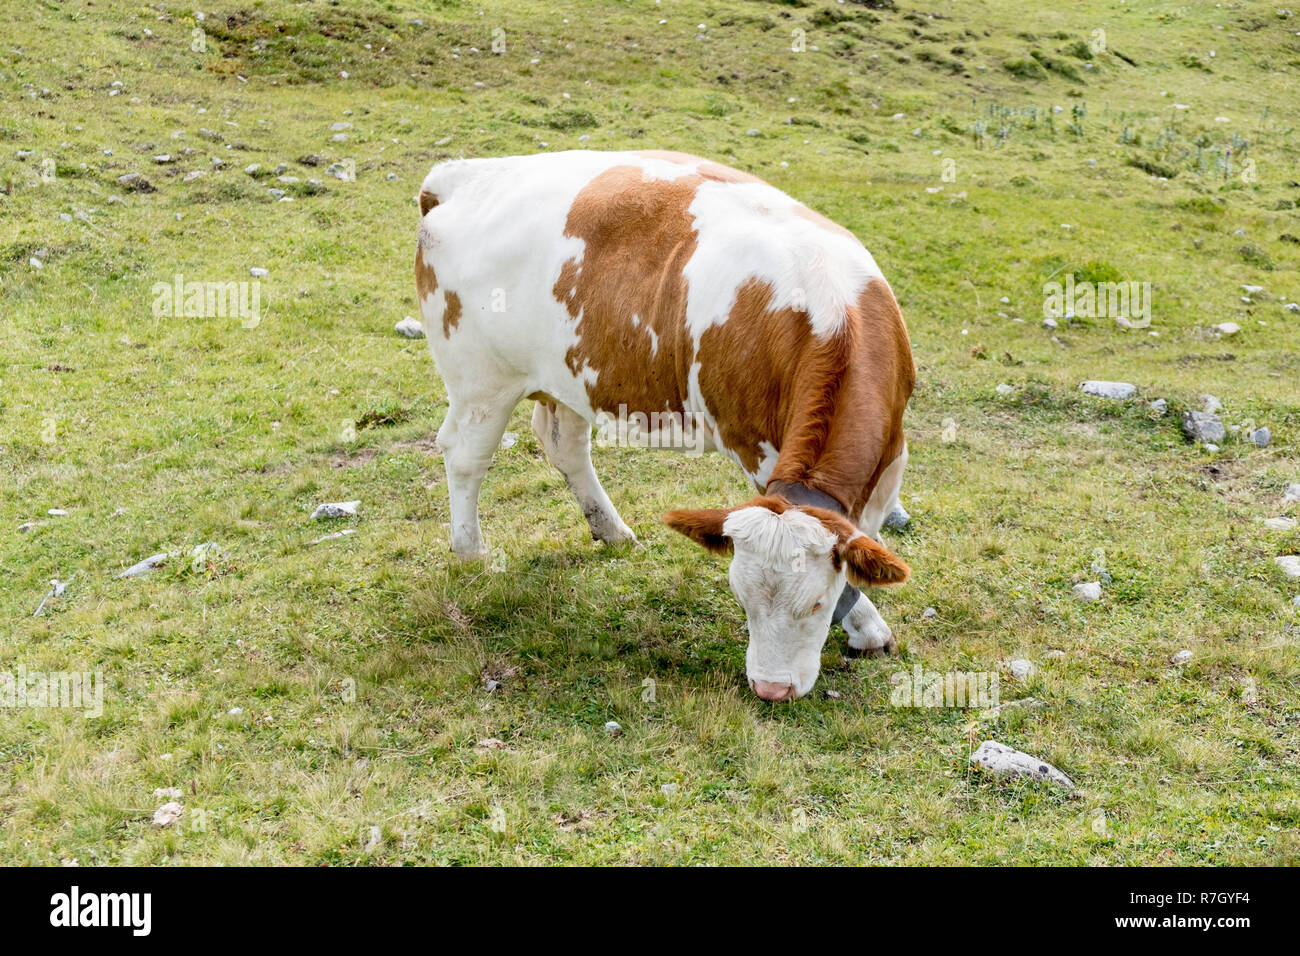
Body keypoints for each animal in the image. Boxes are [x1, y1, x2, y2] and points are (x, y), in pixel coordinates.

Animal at [415, 149, 915, 701]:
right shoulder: (756, 450)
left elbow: (861, 542)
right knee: (466, 458)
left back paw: (612, 531)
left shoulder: (891, 455)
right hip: (481, 380)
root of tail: (465, 174)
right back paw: (470, 551)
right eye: (740, 596)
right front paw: (868, 627)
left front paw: (863, 624)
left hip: (567, 376)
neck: (834, 311)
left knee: (563, 444)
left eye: (815, 604)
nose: (770, 689)